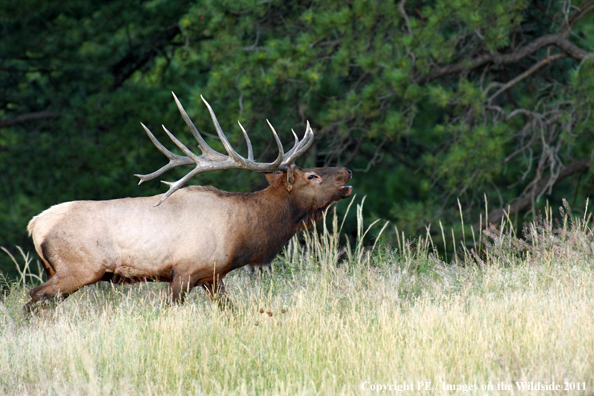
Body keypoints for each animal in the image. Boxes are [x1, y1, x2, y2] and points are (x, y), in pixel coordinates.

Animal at [26, 93, 352, 306]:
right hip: (77, 269)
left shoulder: (213, 276)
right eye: (312, 176)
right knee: (34, 298)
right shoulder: (184, 271)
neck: (244, 236)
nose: (347, 171)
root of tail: (35, 224)